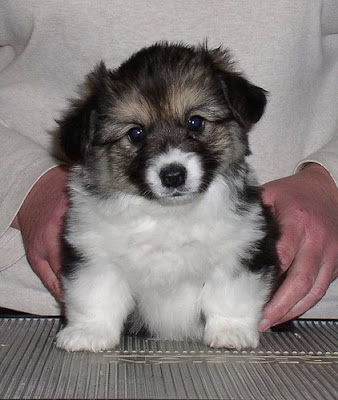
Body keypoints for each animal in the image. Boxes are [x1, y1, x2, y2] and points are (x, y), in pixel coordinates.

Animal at [55, 42, 278, 352]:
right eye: (136, 133)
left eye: (195, 122)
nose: (173, 175)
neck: (167, 213)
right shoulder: (94, 254)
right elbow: (95, 295)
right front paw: (89, 332)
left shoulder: (240, 249)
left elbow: (229, 295)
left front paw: (230, 331)